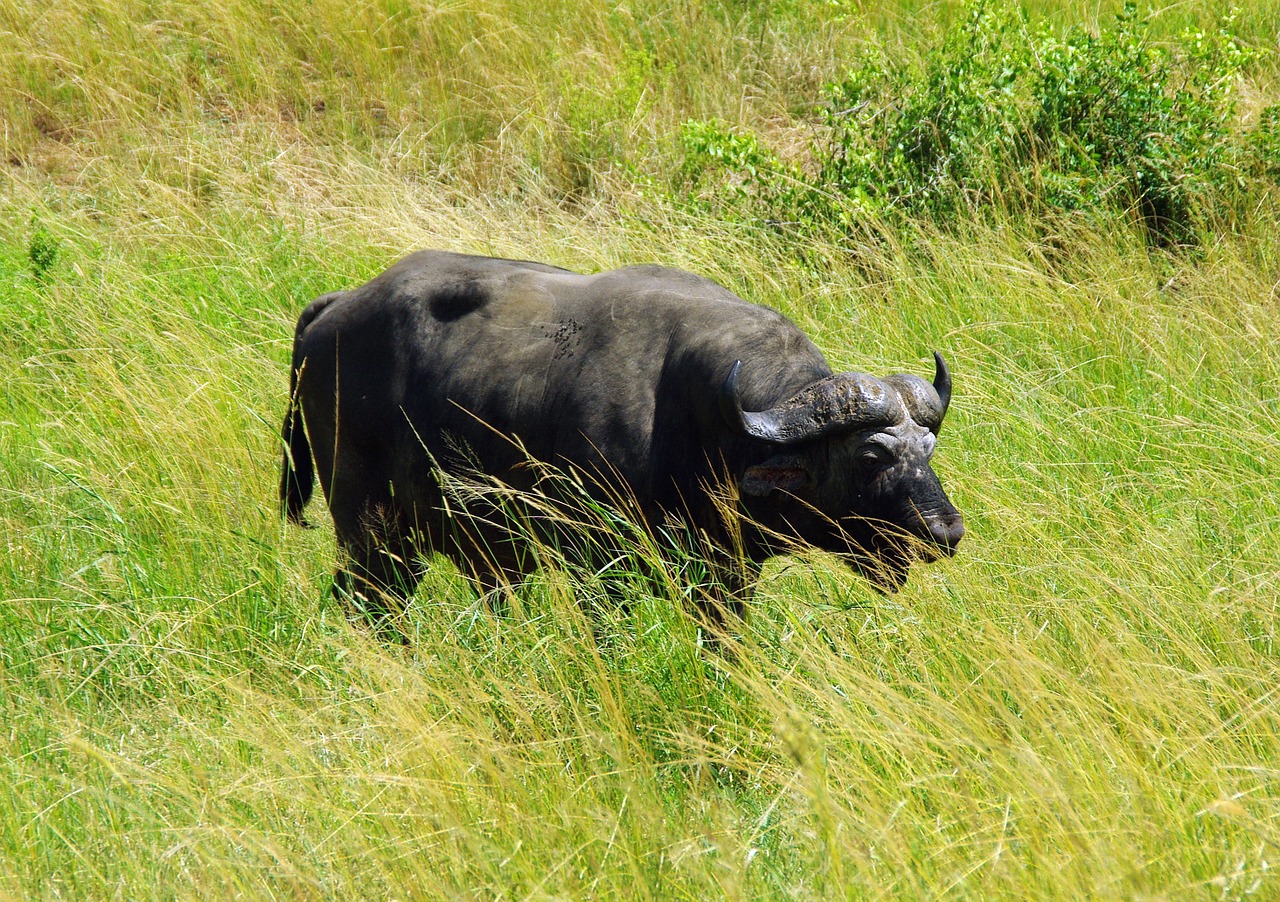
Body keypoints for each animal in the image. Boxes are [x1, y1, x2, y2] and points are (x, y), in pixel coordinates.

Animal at [280, 252, 962, 634]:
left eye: (927, 448)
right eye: (870, 455)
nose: (945, 531)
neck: (699, 422)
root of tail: (335, 309)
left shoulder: (725, 578)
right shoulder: (600, 568)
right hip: (370, 530)